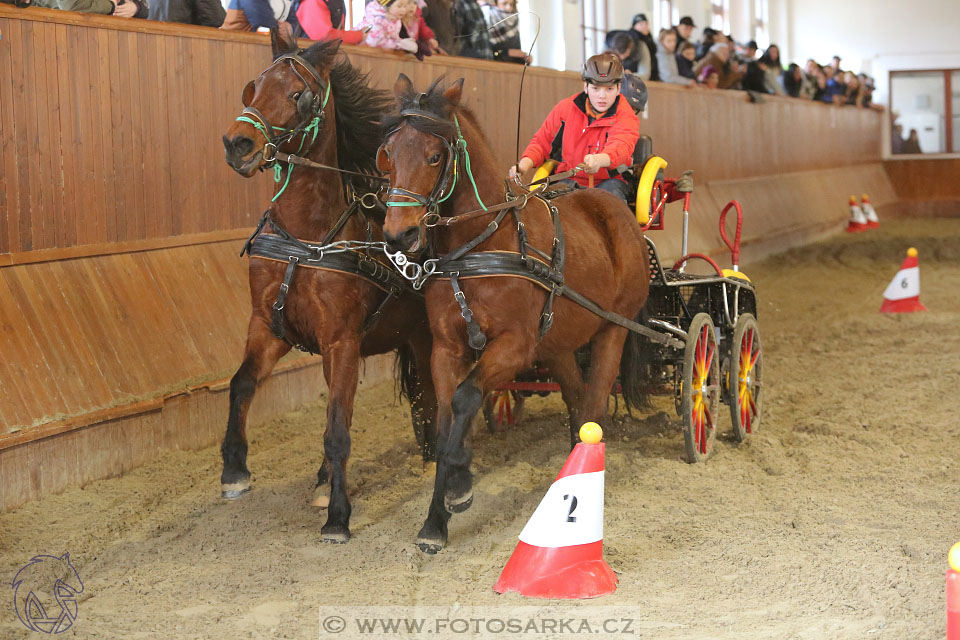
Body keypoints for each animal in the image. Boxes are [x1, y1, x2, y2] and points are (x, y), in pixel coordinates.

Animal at [221, 35, 436, 544]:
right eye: (253, 87)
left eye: (298, 94)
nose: (238, 144)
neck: (307, 239)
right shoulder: (270, 326)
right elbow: (242, 384)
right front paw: (235, 470)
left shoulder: (342, 340)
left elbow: (338, 429)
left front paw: (338, 517)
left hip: (426, 338)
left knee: (434, 395)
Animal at [378, 75, 648, 552]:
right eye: (389, 153)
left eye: (434, 156)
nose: (398, 235)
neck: (478, 247)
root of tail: (620, 216)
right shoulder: (446, 349)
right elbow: (445, 418)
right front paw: (437, 518)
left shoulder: (514, 347)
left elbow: (466, 397)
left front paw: (458, 486)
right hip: (558, 342)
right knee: (577, 400)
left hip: (613, 328)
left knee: (595, 404)